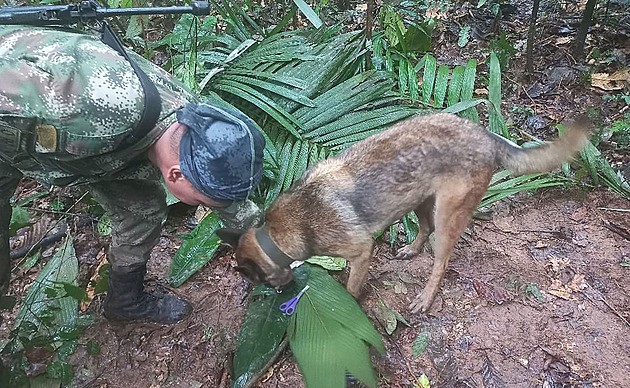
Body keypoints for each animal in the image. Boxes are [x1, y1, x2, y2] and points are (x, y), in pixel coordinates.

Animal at [218, 112, 592, 312]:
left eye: (255, 279)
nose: (279, 295)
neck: (278, 232)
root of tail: (485, 135)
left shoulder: (361, 251)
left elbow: (351, 288)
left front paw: (348, 305)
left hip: (446, 215)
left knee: (440, 261)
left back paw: (425, 297)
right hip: (419, 200)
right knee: (423, 230)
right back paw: (411, 250)